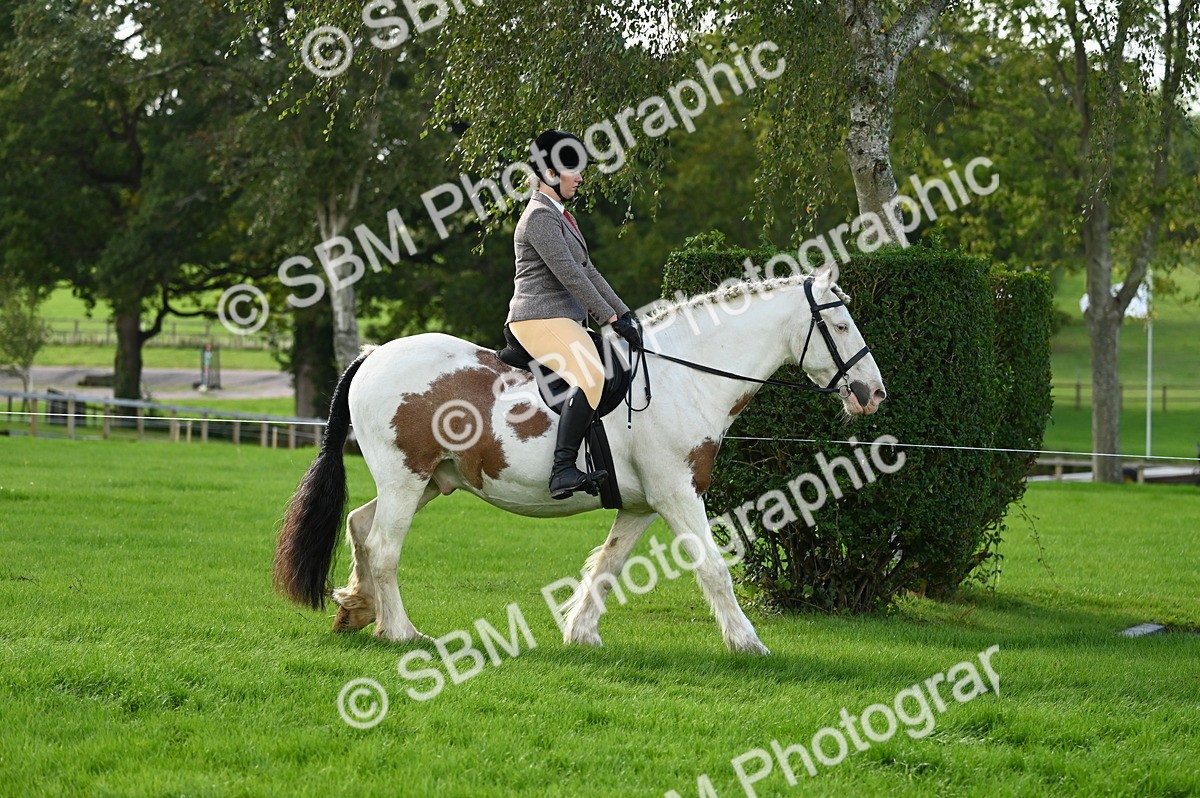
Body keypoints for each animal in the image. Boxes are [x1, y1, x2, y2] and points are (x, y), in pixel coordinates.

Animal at [273, 265, 886, 655]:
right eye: (839, 325)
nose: (873, 393)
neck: (685, 377)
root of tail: (373, 354)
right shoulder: (678, 494)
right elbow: (713, 567)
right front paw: (748, 642)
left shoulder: (642, 505)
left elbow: (607, 566)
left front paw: (581, 635)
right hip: (406, 477)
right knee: (384, 546)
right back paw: (401, 632)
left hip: (428, 481)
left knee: (360, 525)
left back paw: (358, 610)